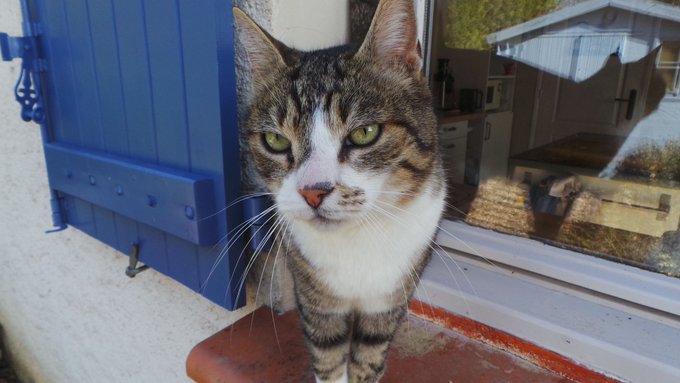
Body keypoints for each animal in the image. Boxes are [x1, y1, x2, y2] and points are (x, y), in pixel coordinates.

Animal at [234, 1, 446, 382]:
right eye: (275, 141)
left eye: (365, 133)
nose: (312, 192)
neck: (357, 241)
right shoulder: (317, 301)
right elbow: (328, 355)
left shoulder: (389, 301)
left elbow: (370, 354)